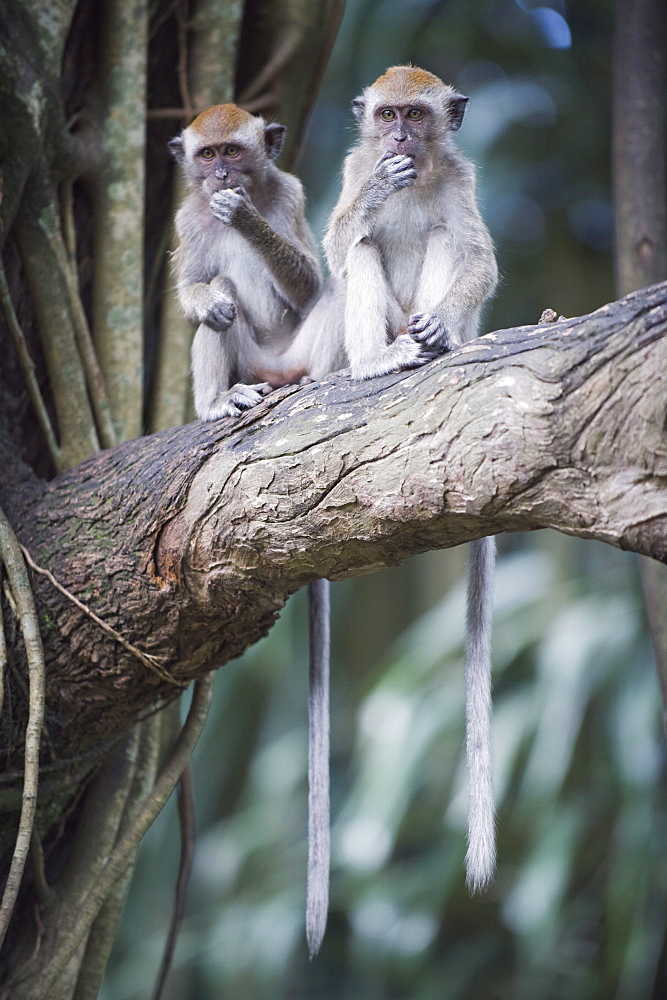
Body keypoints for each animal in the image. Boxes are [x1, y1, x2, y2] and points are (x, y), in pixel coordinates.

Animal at [168, 100, 322, 414]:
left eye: (231, 151)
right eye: (207, 154)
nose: (222, 175)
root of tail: (276, 372)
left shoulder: (290, 194)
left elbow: (309, 288)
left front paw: (244, 216)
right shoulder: (187, 220)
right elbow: (191, 292)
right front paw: (205, 302)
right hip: (249, 366)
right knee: (221, 289)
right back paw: (215, 401)